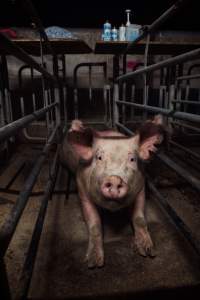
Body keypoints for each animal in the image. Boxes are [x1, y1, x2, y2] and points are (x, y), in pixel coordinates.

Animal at [59, 116, 166, 268]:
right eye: (99, 157)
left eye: (132, 159)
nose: (115, 178)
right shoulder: (83, 191)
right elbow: (94, 223)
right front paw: (94, 263)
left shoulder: (141, 188)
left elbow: (139, 218)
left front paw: (148, 251)